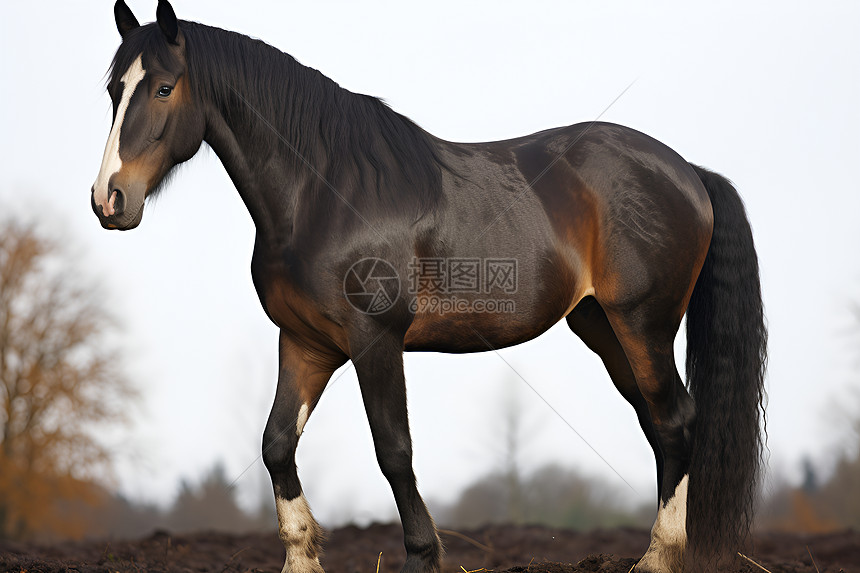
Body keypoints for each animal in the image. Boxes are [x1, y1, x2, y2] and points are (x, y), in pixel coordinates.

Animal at [92, 2, 764, 568]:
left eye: (163, 87)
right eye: (113, 89)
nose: (109, 199)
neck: (323, 193)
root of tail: (686, 172)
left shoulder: (375, 339)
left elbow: (394, 450)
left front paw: (423, 553)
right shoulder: (305, 342)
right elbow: (276, 444)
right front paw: (302, 555)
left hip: (643, 323)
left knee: (675, 419)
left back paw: (658, 557)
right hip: (603, 328)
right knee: (659, 424)